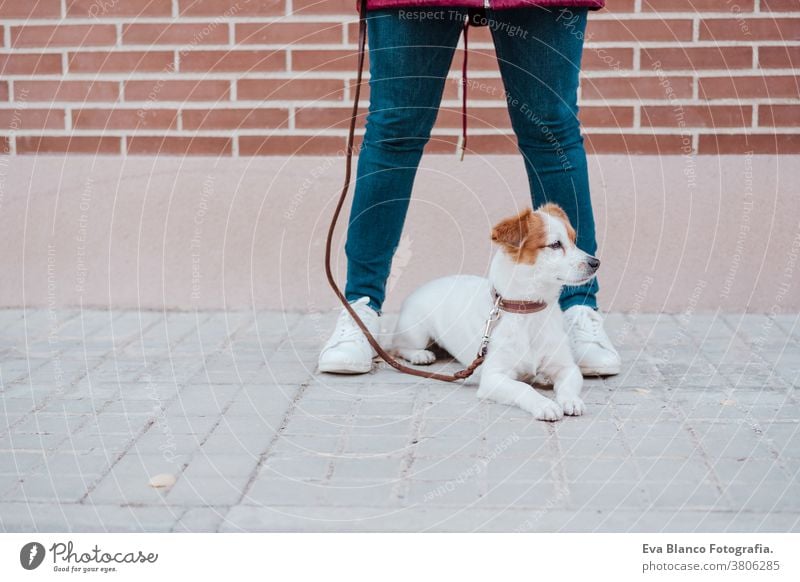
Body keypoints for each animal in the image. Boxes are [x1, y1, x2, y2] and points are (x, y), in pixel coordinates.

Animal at [394, 204, 600, 420]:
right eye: (555, 245)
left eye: (574, 241)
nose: (596, 262)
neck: (528, 311)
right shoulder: (493, 378)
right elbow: (523, 388)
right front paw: (544, 404)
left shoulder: (567, 368)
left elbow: (568, 386)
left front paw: (571, 400)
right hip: (416, 333)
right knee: (398, 347)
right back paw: (419, 355)